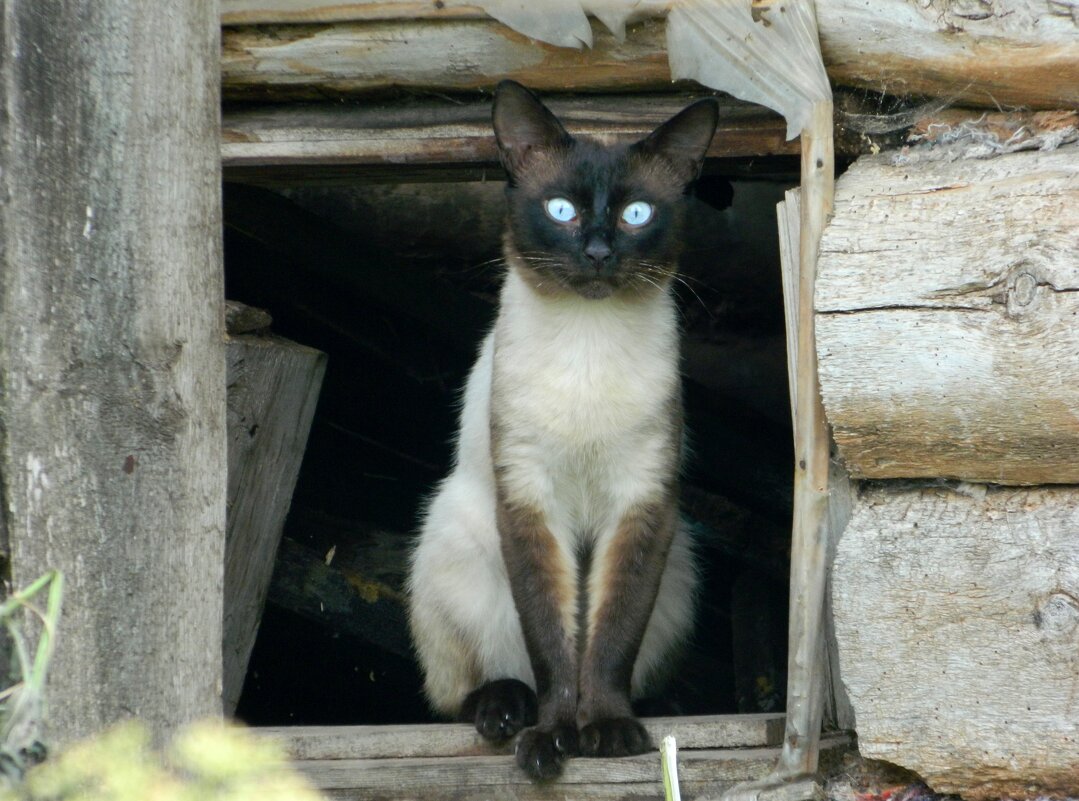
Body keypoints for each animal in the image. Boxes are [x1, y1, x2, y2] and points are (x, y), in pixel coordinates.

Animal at [405, 81, 716, 785]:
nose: (598, 254)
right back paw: (505, 710)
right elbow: (553, 643)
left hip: (680, 562)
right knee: (467, 687)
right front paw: (552, 740)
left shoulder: (641, 502)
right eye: (561, 210)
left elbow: (609, 639)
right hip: (454, 532)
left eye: (635, 214)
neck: (586, 345)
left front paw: (605, 731)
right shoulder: (529, 499)